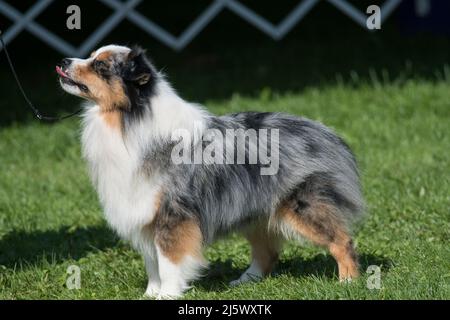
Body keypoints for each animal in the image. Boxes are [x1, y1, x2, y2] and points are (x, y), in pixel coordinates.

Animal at [56, 43, 366, 298]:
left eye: (100, 66)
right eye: (91, 56)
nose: (64, 60)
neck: (126, 120)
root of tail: (326, 132)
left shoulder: (173, 213)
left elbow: (168, 261)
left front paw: (168, 294)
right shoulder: (145, 213)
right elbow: (152, 262)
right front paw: (150, 294)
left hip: (301, 205)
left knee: (342, 240)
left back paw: (348, 282)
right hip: (256, 209)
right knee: (266, 251)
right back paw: (245, 281)